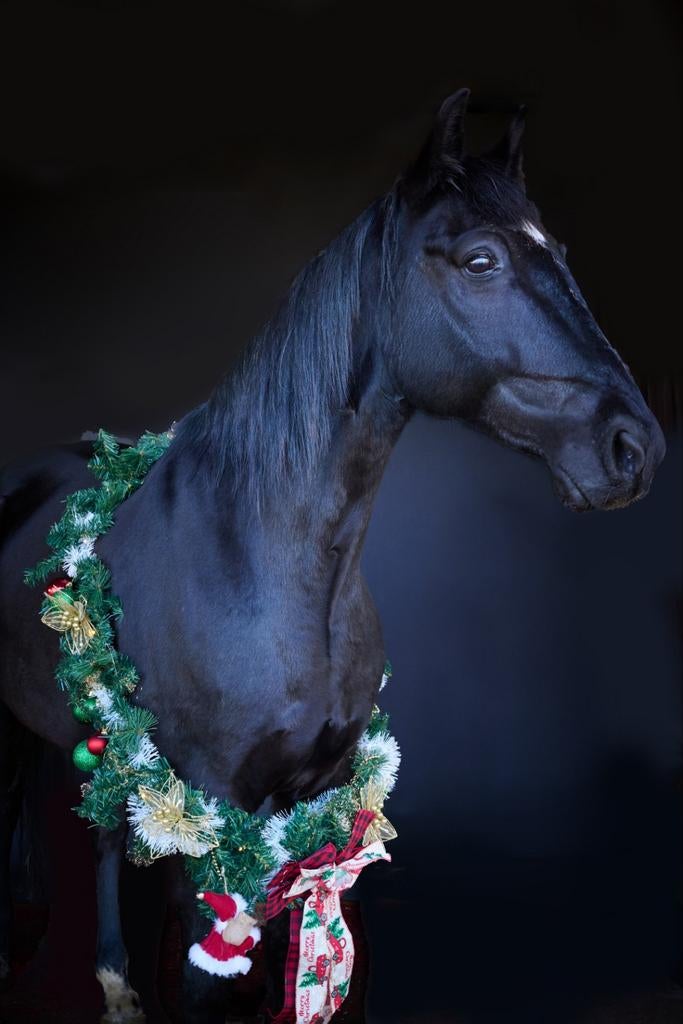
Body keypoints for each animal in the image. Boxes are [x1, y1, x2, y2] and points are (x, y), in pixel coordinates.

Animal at [0, 89, 665, 1023]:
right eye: (481, 259)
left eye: (560, 253)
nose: (633, 448)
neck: (263, 563)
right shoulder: (208, 812)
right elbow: (205, 975)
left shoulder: (314, 799)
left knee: (98, 831)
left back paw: (113, 982)